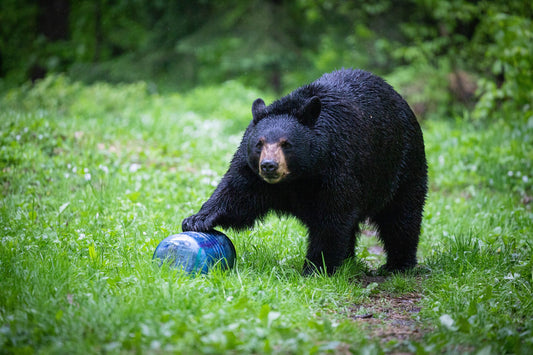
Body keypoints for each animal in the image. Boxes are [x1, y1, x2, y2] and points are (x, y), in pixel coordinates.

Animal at [183, 69, 428, 276]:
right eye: (259, 143)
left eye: (286, 143)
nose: (269, 165)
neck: (300, 176)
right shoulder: (251, 171)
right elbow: (237, 193)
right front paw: (197, 219)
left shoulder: (338, 167)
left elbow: (332, 218)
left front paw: (316, 268)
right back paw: (348, 259)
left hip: (402, 165)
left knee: (402, 216)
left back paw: (398, 265)